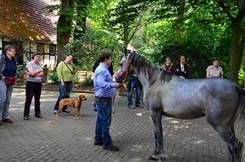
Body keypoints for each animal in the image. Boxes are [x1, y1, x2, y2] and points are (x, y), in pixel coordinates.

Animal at [117, 52, 245, 162]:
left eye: (120, 63)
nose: (117, 78)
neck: (155, 82)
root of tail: (236, 87)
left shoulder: (155, 113)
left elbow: (158, 134)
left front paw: (158, 156)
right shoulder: (157, 114)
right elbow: (157, 133)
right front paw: (156, 154)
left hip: (220, 124)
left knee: (235, 145)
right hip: (229, 124)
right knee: (234, 146)